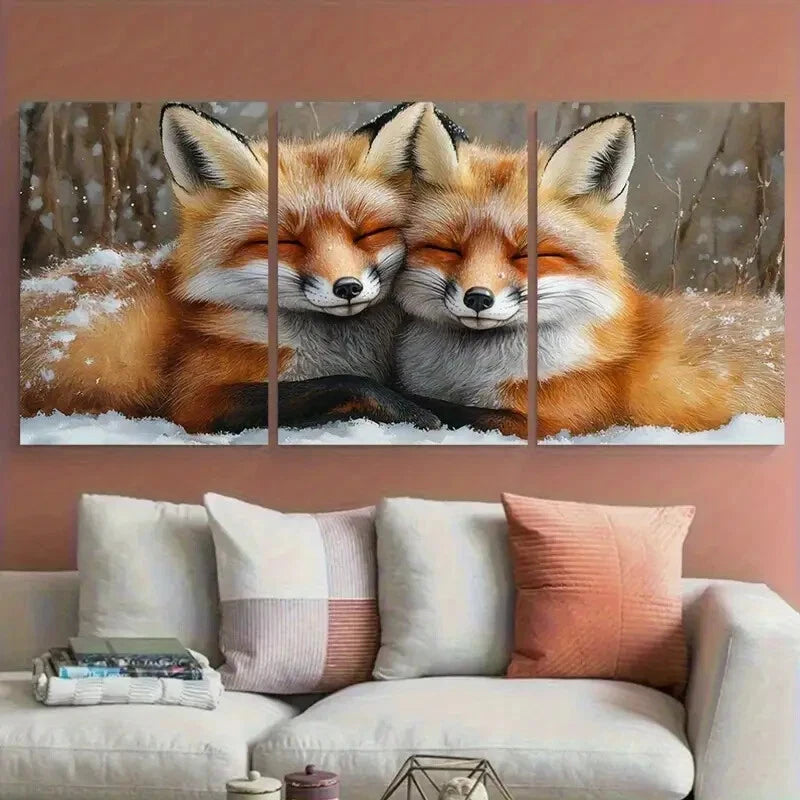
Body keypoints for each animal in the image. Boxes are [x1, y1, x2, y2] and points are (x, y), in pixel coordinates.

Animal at [20, 102, 437, 434]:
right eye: (286, 242)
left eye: (367, 233)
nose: (348, 287)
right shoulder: (197, 400)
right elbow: (347, 384)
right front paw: (408, 413)